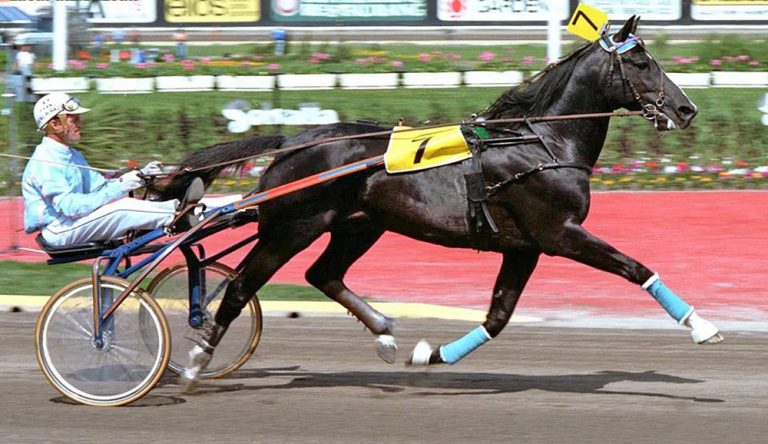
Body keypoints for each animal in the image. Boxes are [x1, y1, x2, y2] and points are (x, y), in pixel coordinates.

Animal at [162, 16, 723, 386]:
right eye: (640, 61)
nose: (686, 109)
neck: (541, 142)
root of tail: (292, 141)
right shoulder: (559, 233)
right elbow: (634, 267)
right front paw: (702, 326)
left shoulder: (524, 246)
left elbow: (498, 317)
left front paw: (428, 355)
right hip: (292, 227)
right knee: (240, 286)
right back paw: (195, 362)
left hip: (359, 224)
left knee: (323, 274)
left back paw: (384, 333)